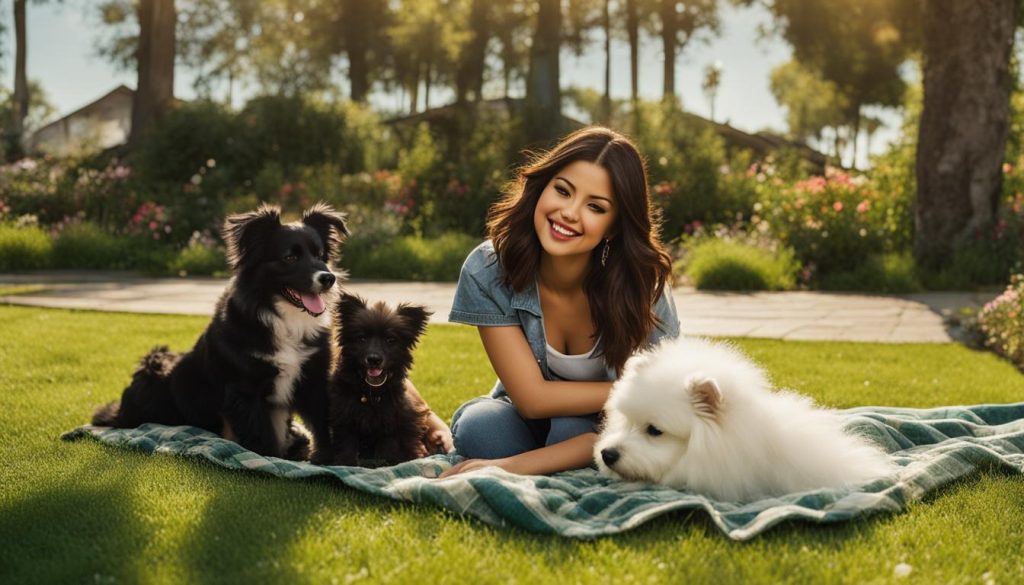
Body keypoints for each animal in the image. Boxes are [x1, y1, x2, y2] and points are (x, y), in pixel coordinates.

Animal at [92, 201, 348, 463]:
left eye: (320, 255)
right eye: (290, 257)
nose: (328, 278)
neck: (283, 318)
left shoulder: (314, 378)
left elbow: (322, 424)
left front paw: (328, 460)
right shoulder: (245, 388)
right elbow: (262, 435)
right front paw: (269, 459)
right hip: (155, 379)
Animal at [331, 293, 432, 467]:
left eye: (390, 339)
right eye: (362, 338)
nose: (374, 359)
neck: (371, 392)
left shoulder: (392, 421)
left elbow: (388, 447)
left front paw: (386, 463)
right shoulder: (344, 417)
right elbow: (346, 443)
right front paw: (345, 462)